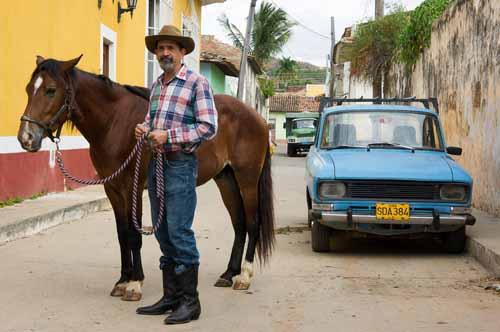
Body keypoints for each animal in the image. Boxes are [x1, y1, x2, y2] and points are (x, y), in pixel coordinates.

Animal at [17, 55, 276, 300]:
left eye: (51, 90)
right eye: (29, 89)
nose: (26, 138)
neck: (114, 122)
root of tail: (259, 119)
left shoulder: (131, 187)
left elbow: (134, 234)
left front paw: (134, 284)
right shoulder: (112, 188)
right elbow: (122, 234)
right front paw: (122, 281)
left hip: (247, 180)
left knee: (252, 223)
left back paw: (244, 276)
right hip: (226, 179)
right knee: (239, 224)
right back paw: (229, 273)